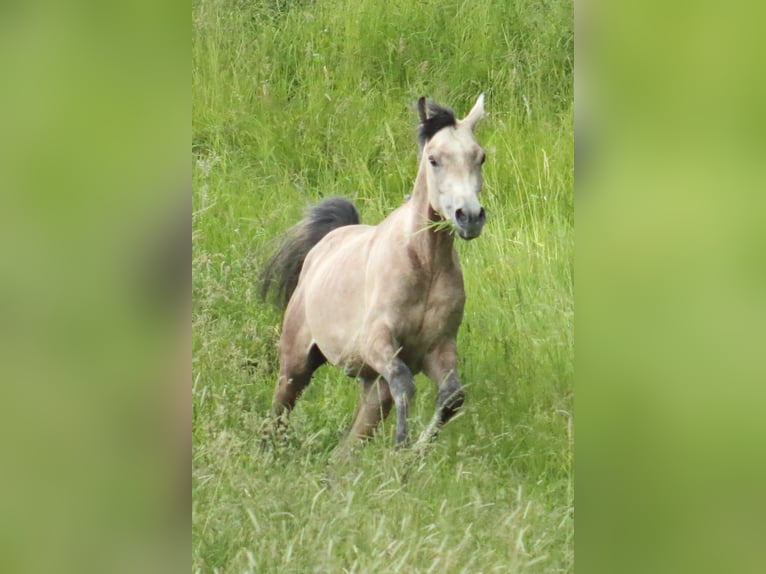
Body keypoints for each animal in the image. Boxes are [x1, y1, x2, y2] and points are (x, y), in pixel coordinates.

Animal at [258, 94, 486, 448]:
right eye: (434, 160)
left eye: (481, 157)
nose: (470, 217)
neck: (425, 265)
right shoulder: (378, 342)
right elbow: (405, 384)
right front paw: (401, 445)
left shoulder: (439, 349)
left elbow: (451, 397)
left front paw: (414, 452)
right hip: (296, 364)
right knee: (280, 409)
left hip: (372, 385)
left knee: (350, 441)